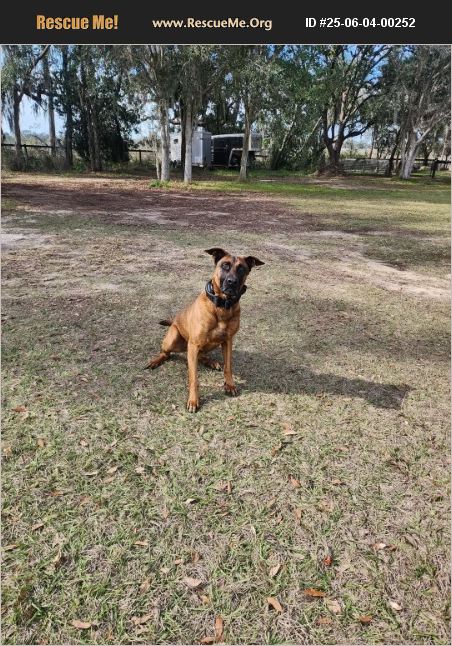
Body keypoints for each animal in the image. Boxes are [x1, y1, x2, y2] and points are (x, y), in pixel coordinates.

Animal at [146, 248, 264, 412]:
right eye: (225, 265)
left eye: (241, 269)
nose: (232, 282)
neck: (222, 306)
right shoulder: (194, 344)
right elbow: (194, 378)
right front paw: (193, 400)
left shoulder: (227, 341)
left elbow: (228, 366)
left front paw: (230, 385)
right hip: (174, 337)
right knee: (166, 353)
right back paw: (156, 361)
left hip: (211, 343)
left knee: (201, 355)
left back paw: (211, 362)